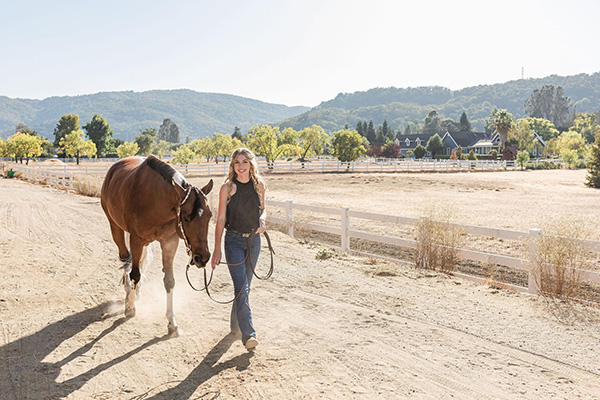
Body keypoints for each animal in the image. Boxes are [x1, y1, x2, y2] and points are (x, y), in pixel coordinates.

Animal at [98, 155, 211, 336]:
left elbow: (169, 280)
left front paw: (172, 322)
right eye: (186, 218)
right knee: (126, 260)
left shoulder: (169, 242)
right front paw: (130, 308)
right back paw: (128, 292)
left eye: (210, 216)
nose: (203, 258)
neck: (156, 200)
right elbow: (134, 274)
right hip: (116, 228)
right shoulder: (136, 240)